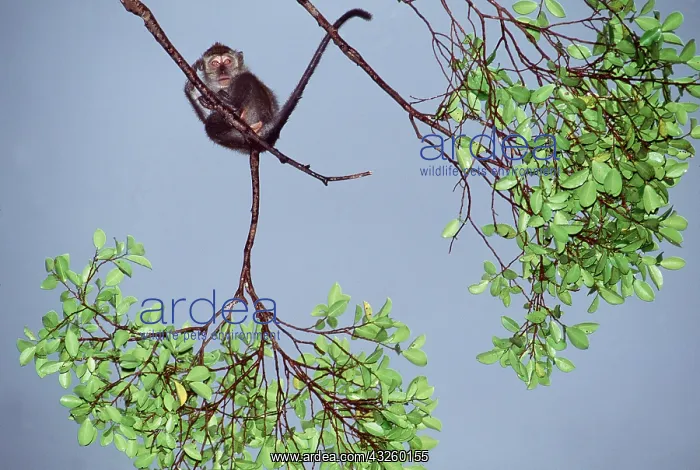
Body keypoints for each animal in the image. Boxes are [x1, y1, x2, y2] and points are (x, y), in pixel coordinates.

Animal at [184, 8, 372, 154]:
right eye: (215, 63)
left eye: (228, 62)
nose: (223, 70)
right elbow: (204, 116)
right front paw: (192, 88)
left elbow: (245, 77)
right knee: (211, 126)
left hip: (257, 111)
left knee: (247, 79)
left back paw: (233, 106)